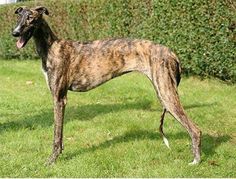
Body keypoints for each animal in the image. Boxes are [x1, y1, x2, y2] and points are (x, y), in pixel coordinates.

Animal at [12, 5, 201, 165]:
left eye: (30, 18)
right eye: (19, 17)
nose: (14, 32)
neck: (52, 47)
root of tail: (172, 53)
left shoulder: (59, 98)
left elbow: (57, 134)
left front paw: (52, 160)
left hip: (166, 93)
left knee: (195, 129)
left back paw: (196, 161)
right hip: (163, 91)